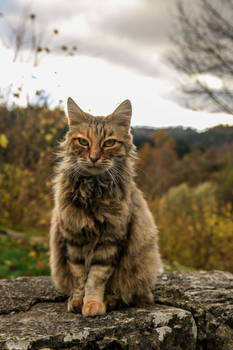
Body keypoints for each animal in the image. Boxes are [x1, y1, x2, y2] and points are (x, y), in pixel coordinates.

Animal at [49, 97, 162, 316]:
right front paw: (78, 301)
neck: (93, 189)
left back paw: (110, 301)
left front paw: (93, 304)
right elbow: (79, 277)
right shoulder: (73, 238)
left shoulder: (110, 240)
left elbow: (95, 278)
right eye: (83, 141)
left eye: (109, 143)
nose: (94, 157)